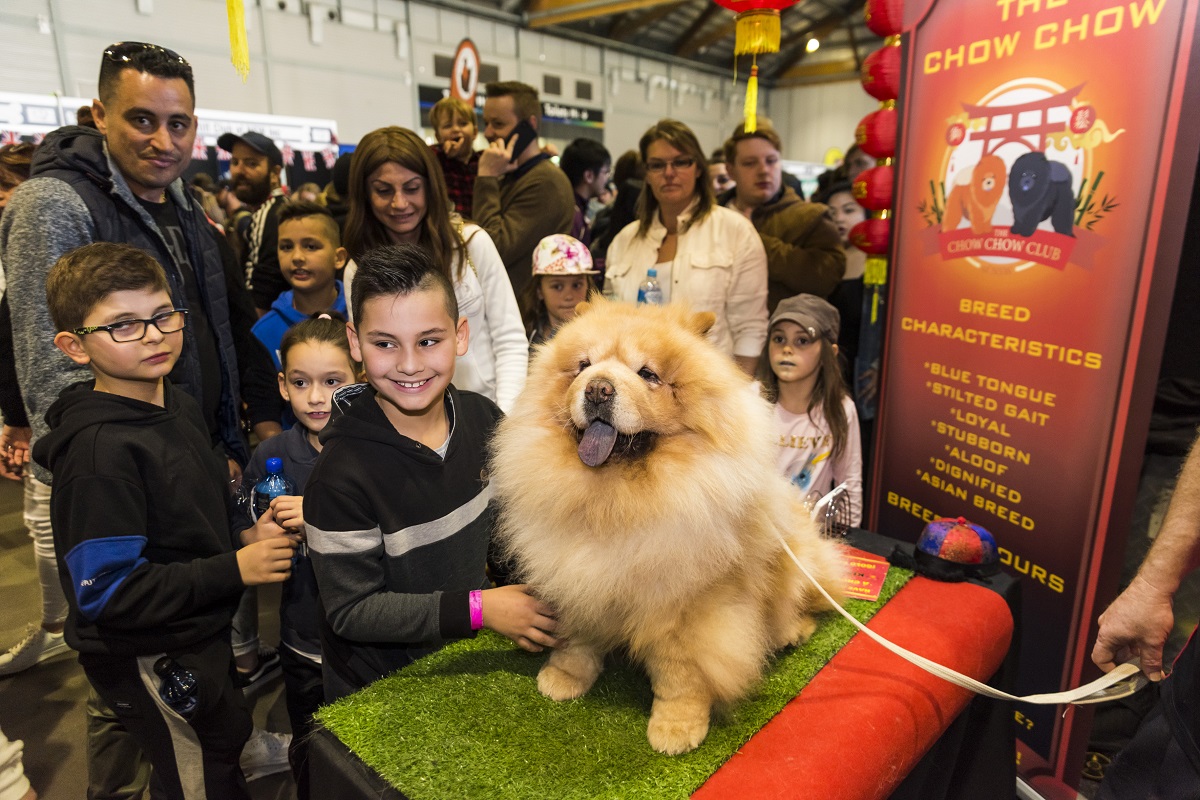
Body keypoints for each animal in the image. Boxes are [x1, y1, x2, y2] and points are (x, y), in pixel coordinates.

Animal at [487, 297, 844, 753]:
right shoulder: (576, 575)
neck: (613, 502)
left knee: (797, 602)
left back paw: (791, 631)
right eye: (584, 365)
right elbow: (578, 640)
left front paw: (676, 728)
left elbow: (681, 675)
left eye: (648, 374)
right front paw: (563, 678)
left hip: (794, 563)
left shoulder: (686, 605)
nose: (597, 388)